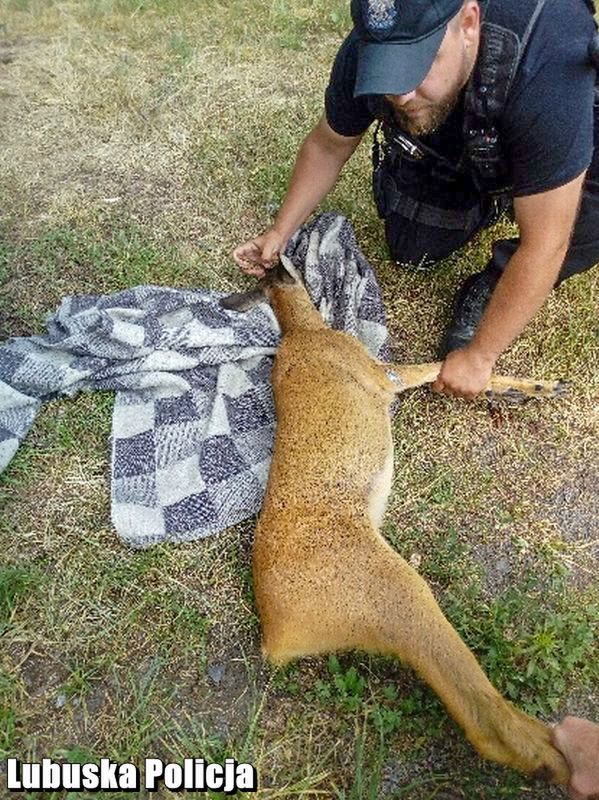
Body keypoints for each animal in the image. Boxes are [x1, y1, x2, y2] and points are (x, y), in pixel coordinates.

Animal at [220, 258, 572, 788]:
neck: (303, 331)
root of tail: (276, 635)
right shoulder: (379, 374)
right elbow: (434, 367)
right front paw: (539, 386)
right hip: (396, 593)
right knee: (480, 712)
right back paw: (557, 757)